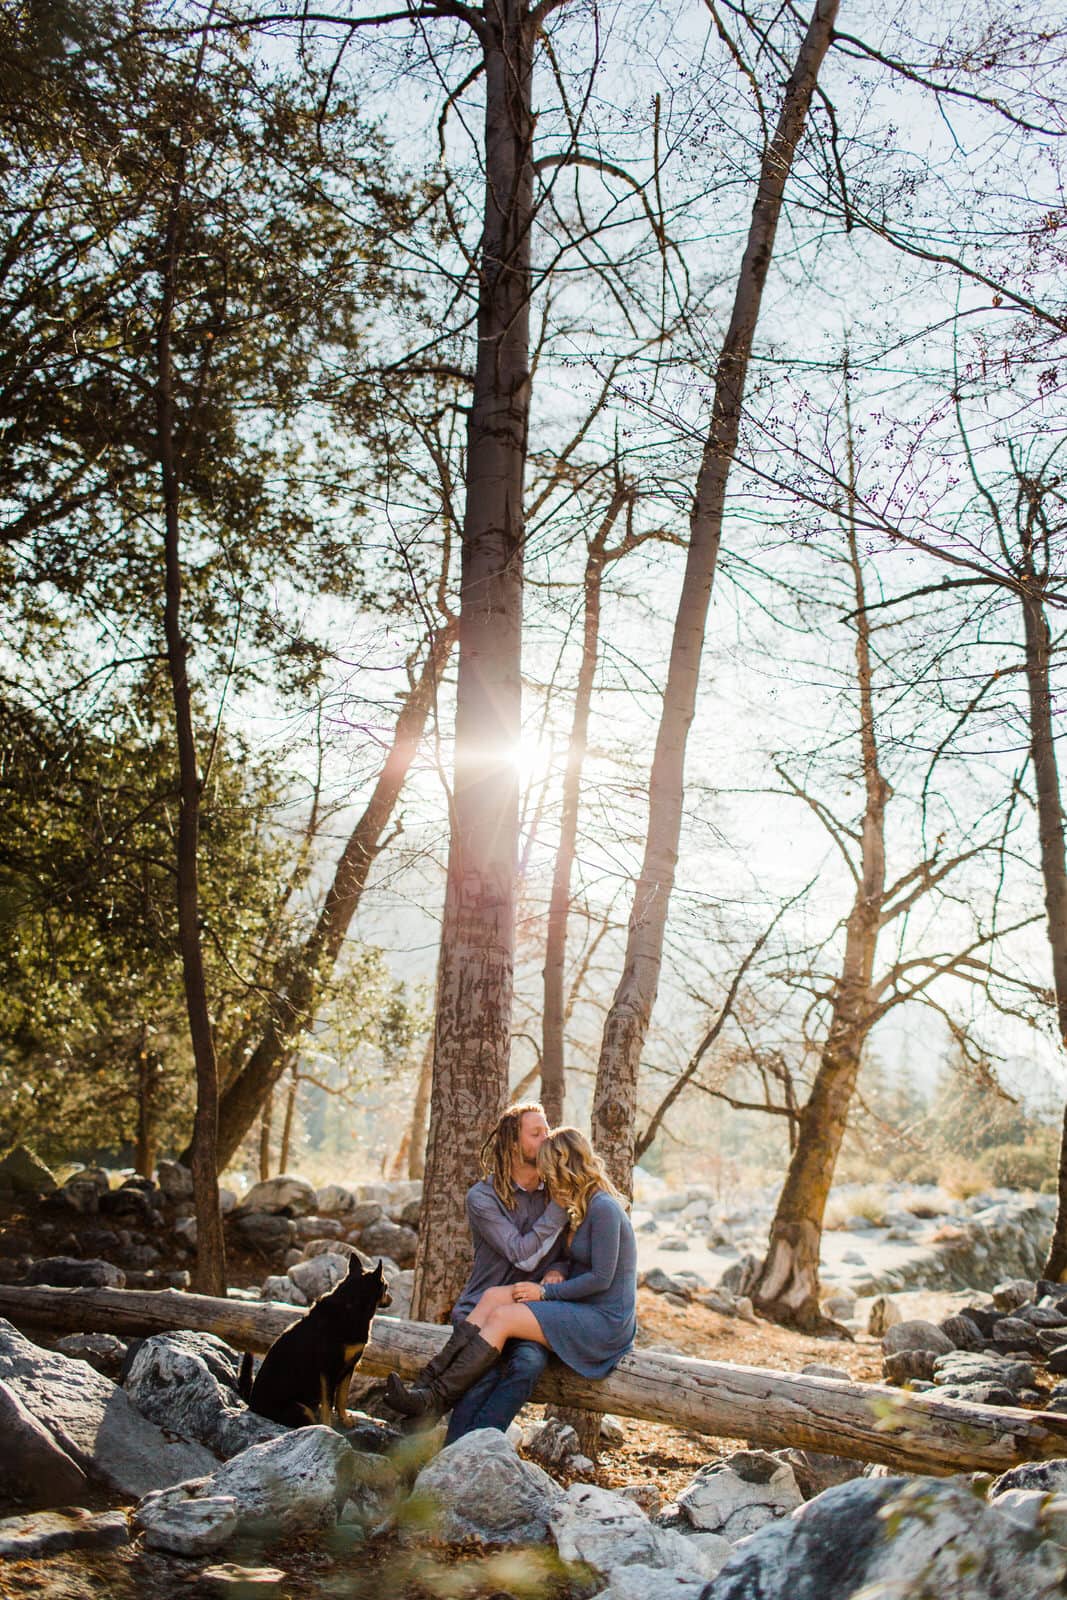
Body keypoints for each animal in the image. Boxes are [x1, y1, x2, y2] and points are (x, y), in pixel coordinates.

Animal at [238, 1254, 391, 1433]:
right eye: (386, 1286)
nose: (391, 1298)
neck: (351, 1307)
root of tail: (252, 1404)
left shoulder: (348, 1368)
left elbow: (342, 1398)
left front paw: (345, 1420)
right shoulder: (328, 1371)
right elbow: (329, 1403)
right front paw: (329, 1428)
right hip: (300, 1409)